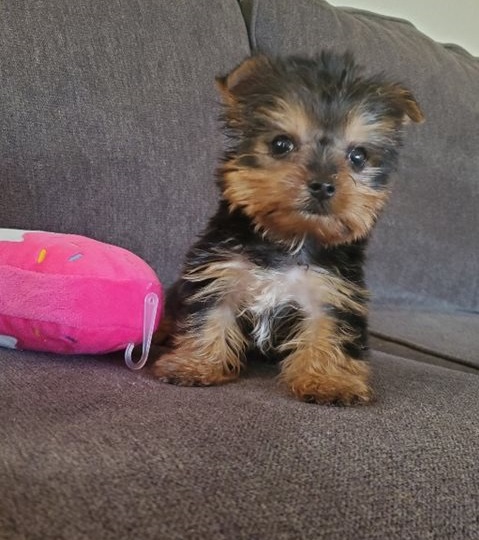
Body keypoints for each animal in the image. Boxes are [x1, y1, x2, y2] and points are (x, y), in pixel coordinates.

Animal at [153, 51, 424, 404]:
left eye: (358, 156)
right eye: (281, 144)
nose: (323, 185)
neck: (288, 239)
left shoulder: (331, 290)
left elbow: (328, 330)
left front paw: (328, 381)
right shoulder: (220, 272)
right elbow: (208, 315)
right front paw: (194, 365)